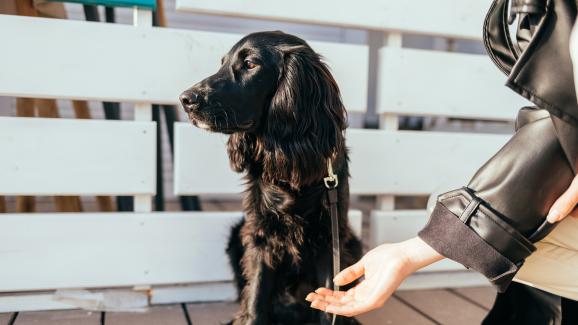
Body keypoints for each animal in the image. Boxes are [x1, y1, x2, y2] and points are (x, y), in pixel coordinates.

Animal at [180, 31, 360, 324]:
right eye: (222, 63)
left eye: (250, 64)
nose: (185, 99)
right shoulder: (260, 236)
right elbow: (256, 296)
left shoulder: (328, 238)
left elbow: (329, 303)